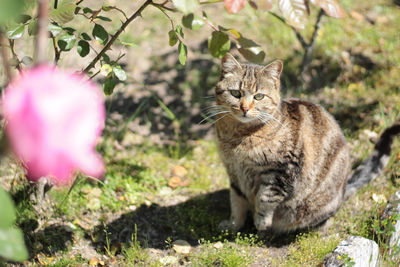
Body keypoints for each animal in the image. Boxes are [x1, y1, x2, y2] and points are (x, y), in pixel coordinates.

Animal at [214, 53, 398, 233]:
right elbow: (236, 201)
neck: (238, 138)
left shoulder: (283, 171)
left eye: (259, 96)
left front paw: (261, 223)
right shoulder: (234, 173)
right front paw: (233, 225)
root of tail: (344, 189)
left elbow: (265, 198)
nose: (244, 108)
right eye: (235, 93)